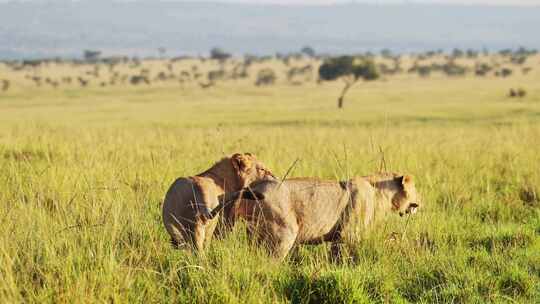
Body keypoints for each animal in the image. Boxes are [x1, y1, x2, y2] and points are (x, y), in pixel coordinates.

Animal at [217, 172, 420, 260]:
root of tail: (253, 186)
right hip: (283, 234)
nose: (421, 200)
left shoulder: (339, 237)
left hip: (254, 235)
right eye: (415, 188)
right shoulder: (348, 234)